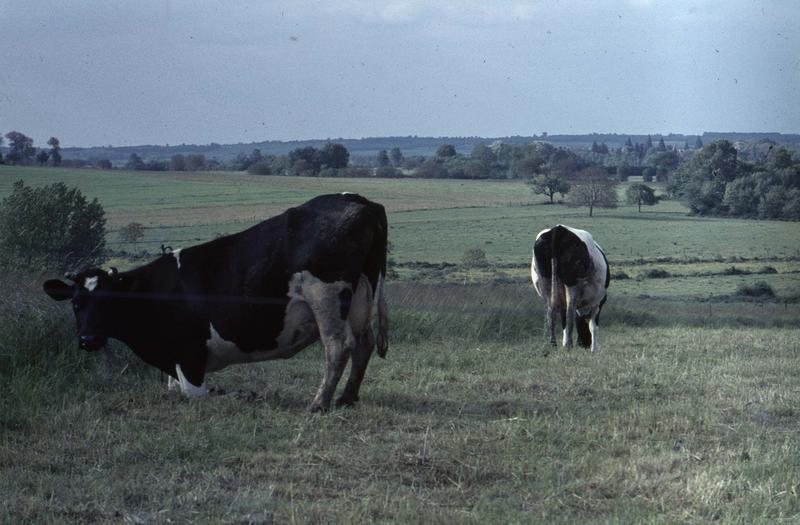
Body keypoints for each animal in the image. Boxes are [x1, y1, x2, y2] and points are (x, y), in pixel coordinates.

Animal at [43, 194, 388, 412]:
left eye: (108, 301)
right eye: (76, 303)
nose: (88, 339)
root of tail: (359, 200)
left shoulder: (189, 354)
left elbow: (193, 394)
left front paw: (240, 394)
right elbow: (175, 389)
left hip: (325, 295)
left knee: (338, 346)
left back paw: (319, 403)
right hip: (361, 295)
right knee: (364, 342)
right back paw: (347, 398)